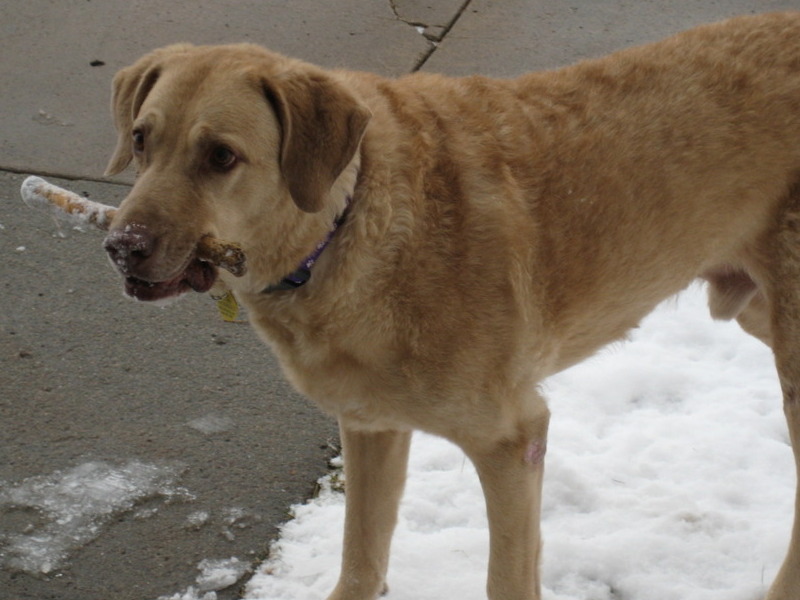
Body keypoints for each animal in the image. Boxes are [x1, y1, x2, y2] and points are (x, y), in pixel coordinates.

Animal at [103, 12, 800, 600]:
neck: (348, 220)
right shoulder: (371, 426)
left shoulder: (513, 439)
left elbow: (506, 579)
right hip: (753, 308)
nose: (120, 247)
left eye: (221, 156)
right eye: (140, 140)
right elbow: (361, 559)